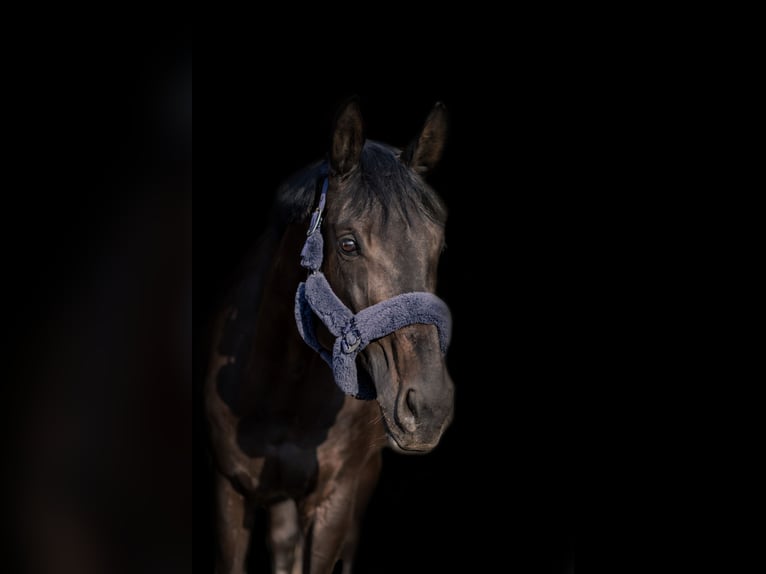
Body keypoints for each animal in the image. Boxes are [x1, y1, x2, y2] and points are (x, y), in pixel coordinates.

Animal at [204, 98, 455, 574]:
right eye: (349, 244)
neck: (279, 395)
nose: (429, 407)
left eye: (438, 246)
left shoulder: (333, 503)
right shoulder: (230, 493)